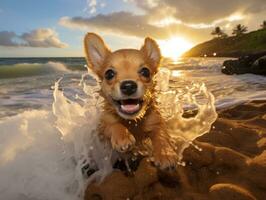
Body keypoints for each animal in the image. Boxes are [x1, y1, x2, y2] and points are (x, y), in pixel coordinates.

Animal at [84, 32, 178, 169]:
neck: (132, 122)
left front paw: (165, 153)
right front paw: (123, 136)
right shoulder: (102, 128)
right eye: (109, 74)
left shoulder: (156, 122)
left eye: (145, 72)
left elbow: (160, 134)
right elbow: (113, 125)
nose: (128, 86)